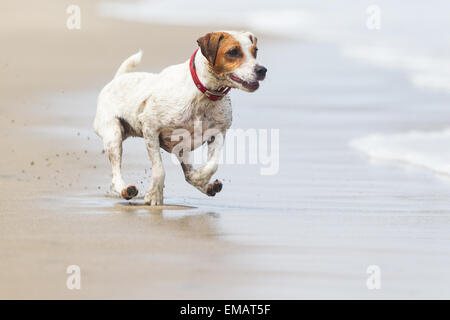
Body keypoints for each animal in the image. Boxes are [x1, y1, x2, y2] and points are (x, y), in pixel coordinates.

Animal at [92, 30, 266, 205]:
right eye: (233, 52)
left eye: (255, 51)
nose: (262, 70)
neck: (202, 95)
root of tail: (117, 79)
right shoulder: (150, 128)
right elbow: (159, 170)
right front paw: (154, 196)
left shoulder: (218, 133)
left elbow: (212, 165)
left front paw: (200, 178)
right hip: (113, 135)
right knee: (115, 176)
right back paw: (125, 189)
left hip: (181, 148)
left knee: (188, 174)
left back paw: (206, 186)